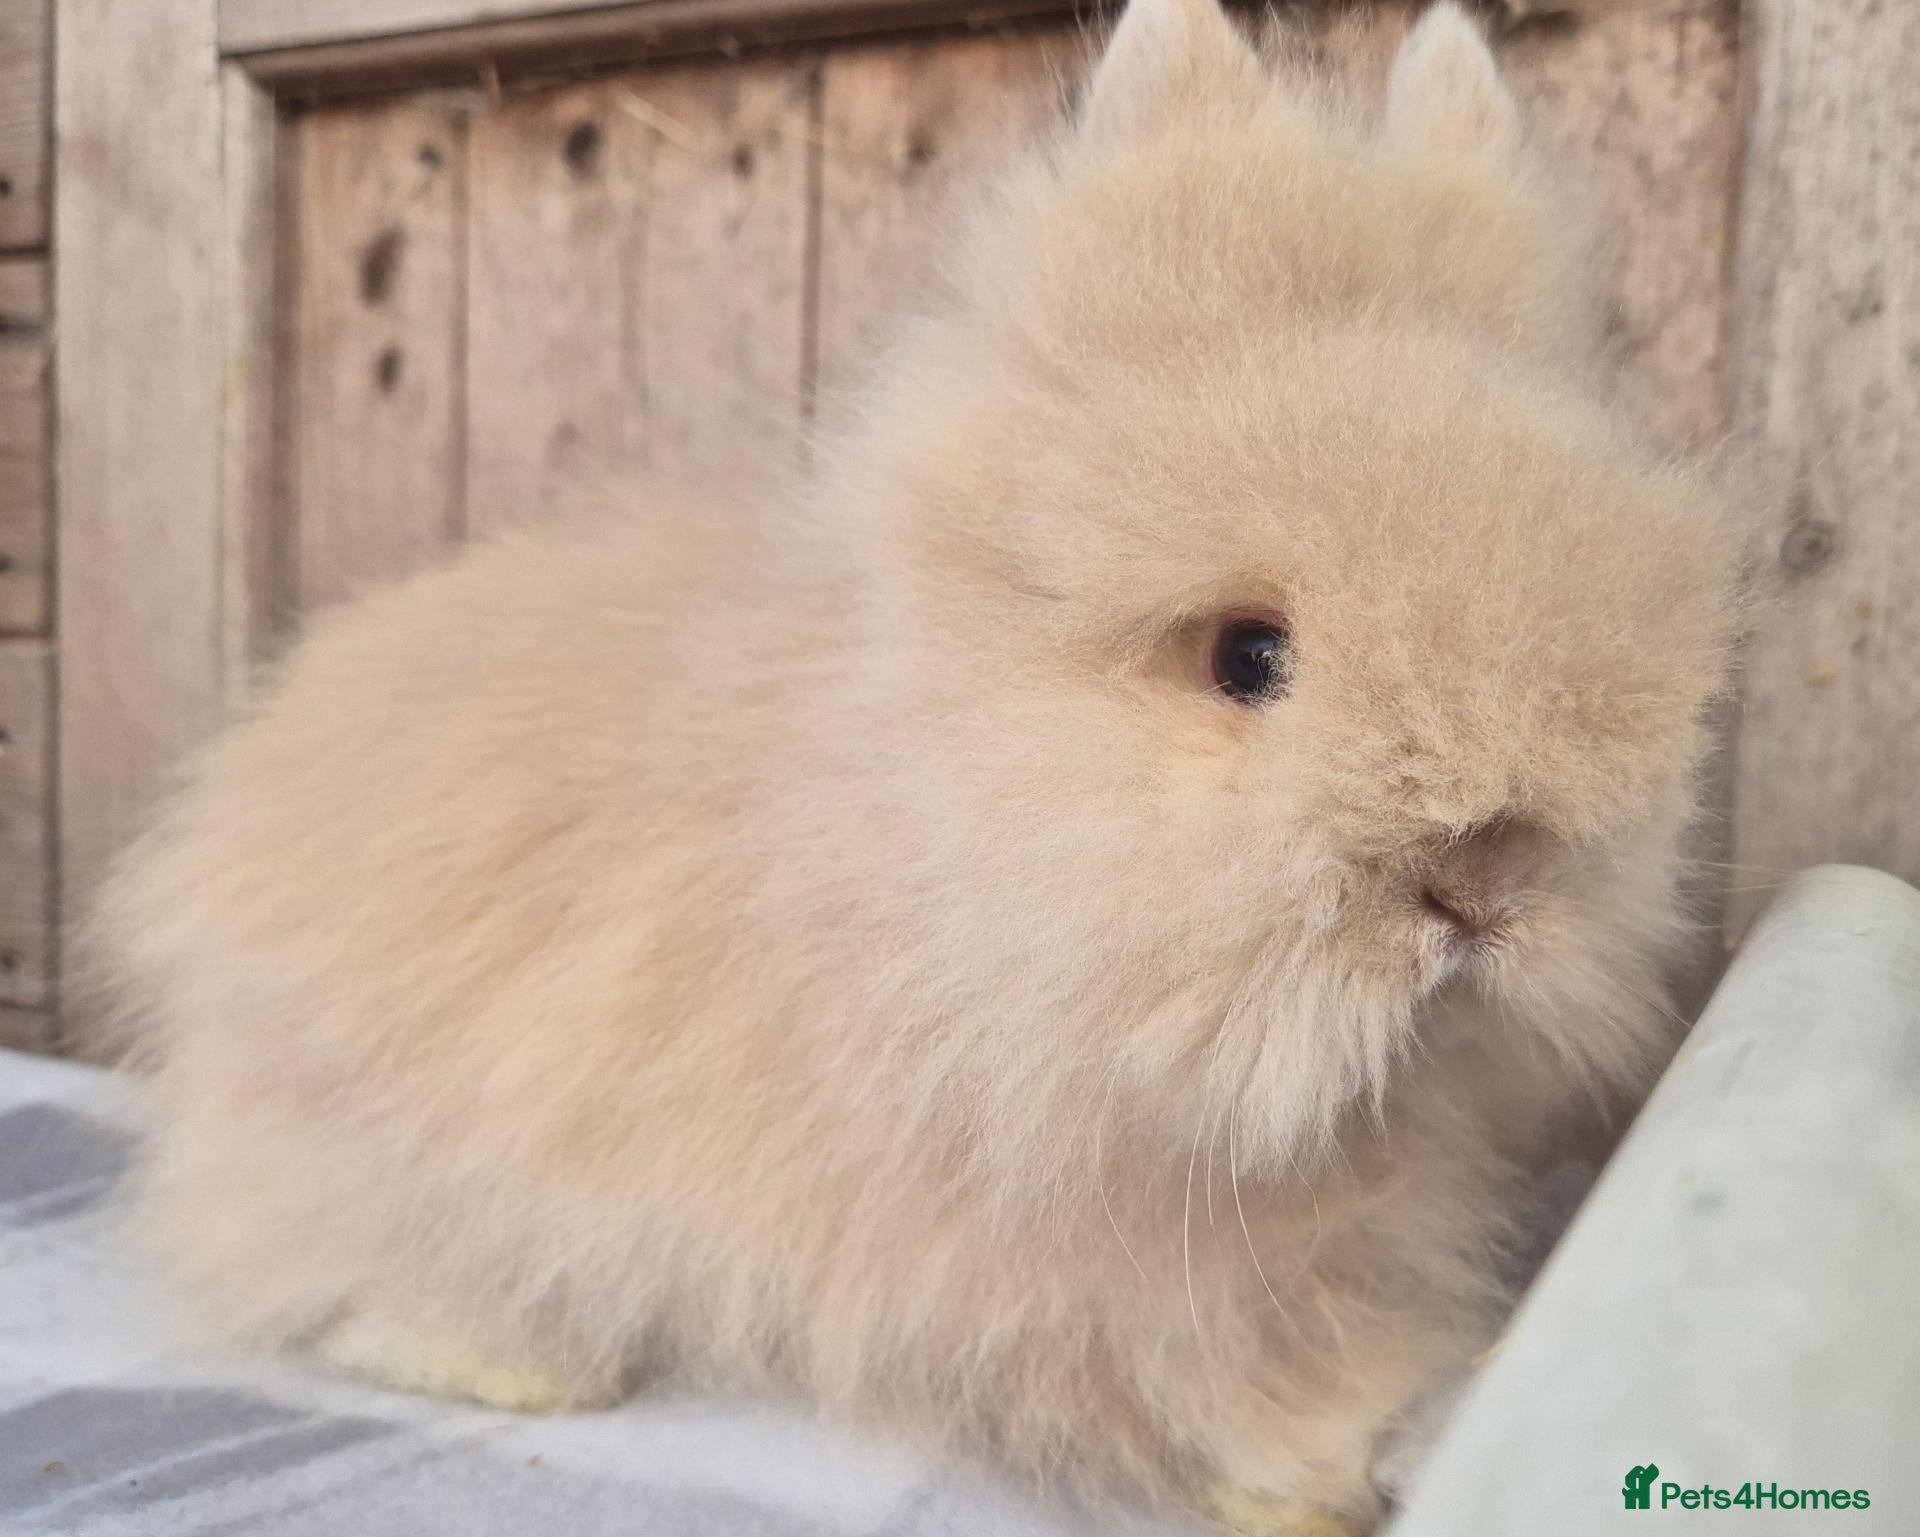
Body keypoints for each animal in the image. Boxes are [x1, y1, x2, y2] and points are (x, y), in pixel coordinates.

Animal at [92, 1, 1744, 1531]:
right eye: (1248, 658)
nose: (1482, 891)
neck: (911, 832)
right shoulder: (1115, 1273)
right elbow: (1215, 1381)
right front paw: (1312, 1482)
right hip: (387, 1155)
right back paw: (522, 1369)